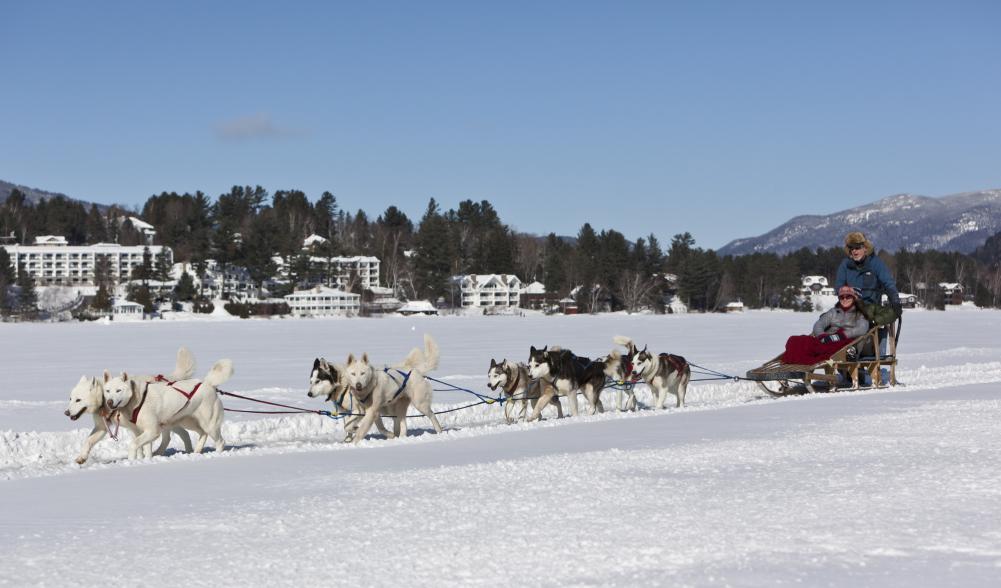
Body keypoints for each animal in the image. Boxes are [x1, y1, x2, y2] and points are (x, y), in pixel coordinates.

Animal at [65, 344, 196, 464]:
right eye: (70, 399)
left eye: (78, 400)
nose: (66, 412)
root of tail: (170, 379)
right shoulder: (103, 427)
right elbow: (88, 441)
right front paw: (81, 457)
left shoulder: (138, 427)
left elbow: (142, 445)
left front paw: (141, 459)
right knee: (179, 434)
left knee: (175, 435)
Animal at [103, 358, 232, 460]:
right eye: (108, 391)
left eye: (118, 390)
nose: (109, 402)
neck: (136, 399)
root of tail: (208, 383)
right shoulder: (142, 431)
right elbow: (146, 449)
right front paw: (146, 460)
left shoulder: (153, 431)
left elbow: (133, 444)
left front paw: (131, 460)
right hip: (189, 422)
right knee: (202, 433)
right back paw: (195, 453)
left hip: (210, 425)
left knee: (220, 441)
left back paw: (216, 454)